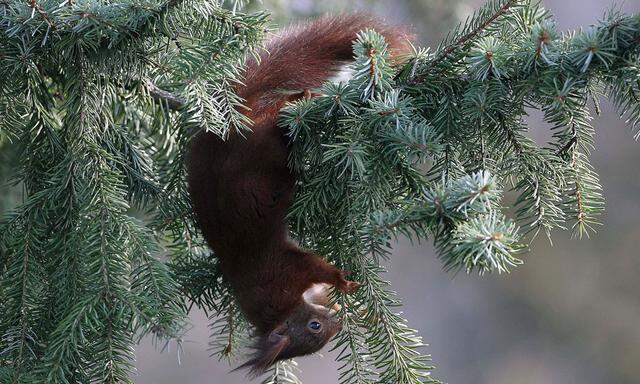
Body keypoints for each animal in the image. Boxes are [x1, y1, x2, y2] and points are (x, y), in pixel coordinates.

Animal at [185, 12, 410, 376]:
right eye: (315, 330)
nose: (336, 322)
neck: (278, 308)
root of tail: (233, 124)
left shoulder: (287, 270)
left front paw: (344, 289)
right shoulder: (291, 270)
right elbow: (319, 269)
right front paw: (343, 286)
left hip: (261, 142)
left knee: (277, 112)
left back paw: (303, 97)